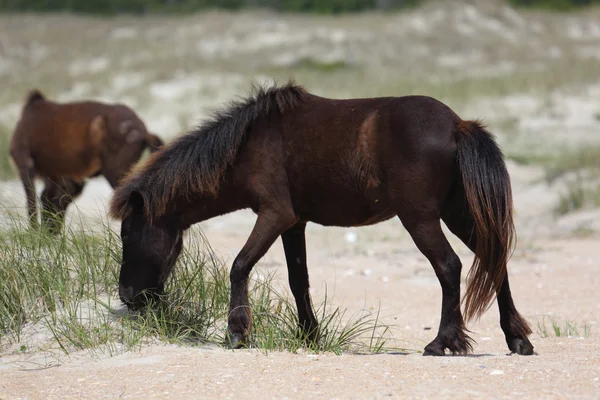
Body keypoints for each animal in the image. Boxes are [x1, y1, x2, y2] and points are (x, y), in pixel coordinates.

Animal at [9, 90, 164, 234]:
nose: (50, 233)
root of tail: (143, 132)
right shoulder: (62, 178)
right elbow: (47, 200)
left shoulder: (25, 162)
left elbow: (33, 201)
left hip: (115, 173)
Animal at [109, 81, 536, 356]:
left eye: (128, 233)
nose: (128, 297)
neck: (248, 143)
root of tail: (457, 125)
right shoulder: (293, 223)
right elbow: (299, 280)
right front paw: (309, 336)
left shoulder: (274, 215)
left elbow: (240, 265)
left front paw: (238, 332)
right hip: (457, 215)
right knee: (494, 262)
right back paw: (517, 340)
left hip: (421, 218)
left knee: (449, 267)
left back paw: (443, 343)